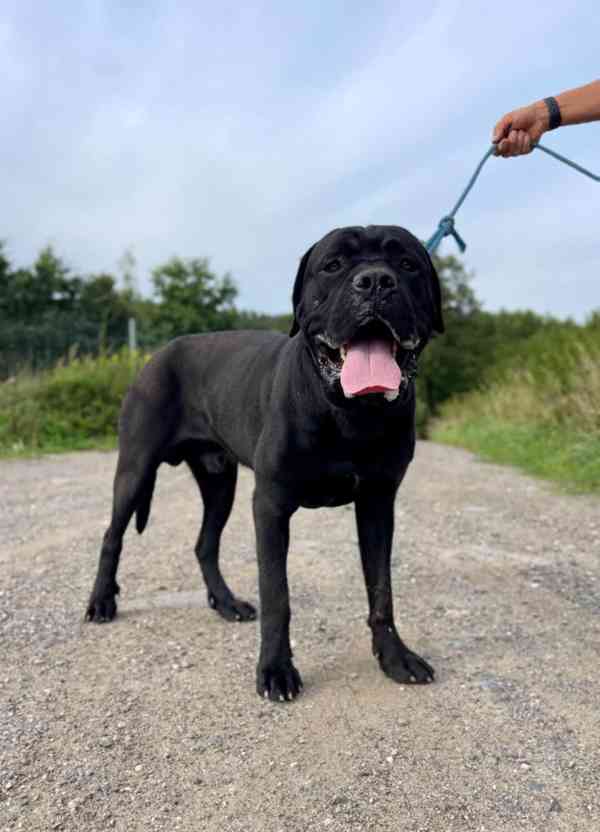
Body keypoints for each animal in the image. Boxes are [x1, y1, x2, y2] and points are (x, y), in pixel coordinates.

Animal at [88, 224, 446, 700]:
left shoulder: (377, 503)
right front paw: (276, 670)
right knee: (112, 535)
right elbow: (278, 594)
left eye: (407, 264)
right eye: (333, 265)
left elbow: (381, 589)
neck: (350, 413)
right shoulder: (271, 506)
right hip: (135, 468)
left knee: (205, 544)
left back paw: (226, 603)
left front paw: (394, 657)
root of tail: (156, 354)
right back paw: (101, 602)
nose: (374, 281)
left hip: (220, 483)